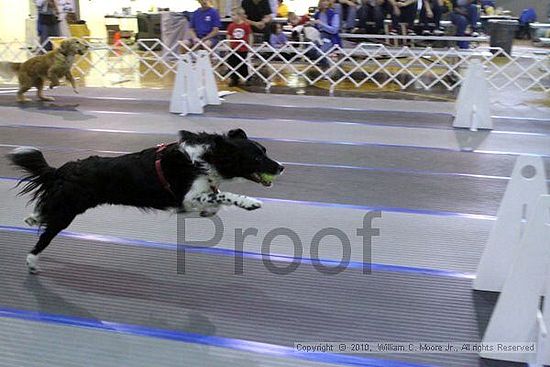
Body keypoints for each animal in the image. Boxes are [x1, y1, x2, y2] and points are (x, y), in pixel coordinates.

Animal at [9, 128, 284, 274]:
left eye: (265, 151)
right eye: (256, 157)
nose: (281, 167)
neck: (207, 157)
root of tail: (62, 170)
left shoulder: (190, 201)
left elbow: (214, 203)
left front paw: (209, 212)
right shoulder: (187, 196)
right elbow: (223, 196)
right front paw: (249, 202)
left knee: (44, 210)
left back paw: (32, 217)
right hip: (67, 211)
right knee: (45, 235)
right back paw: (31, 262)